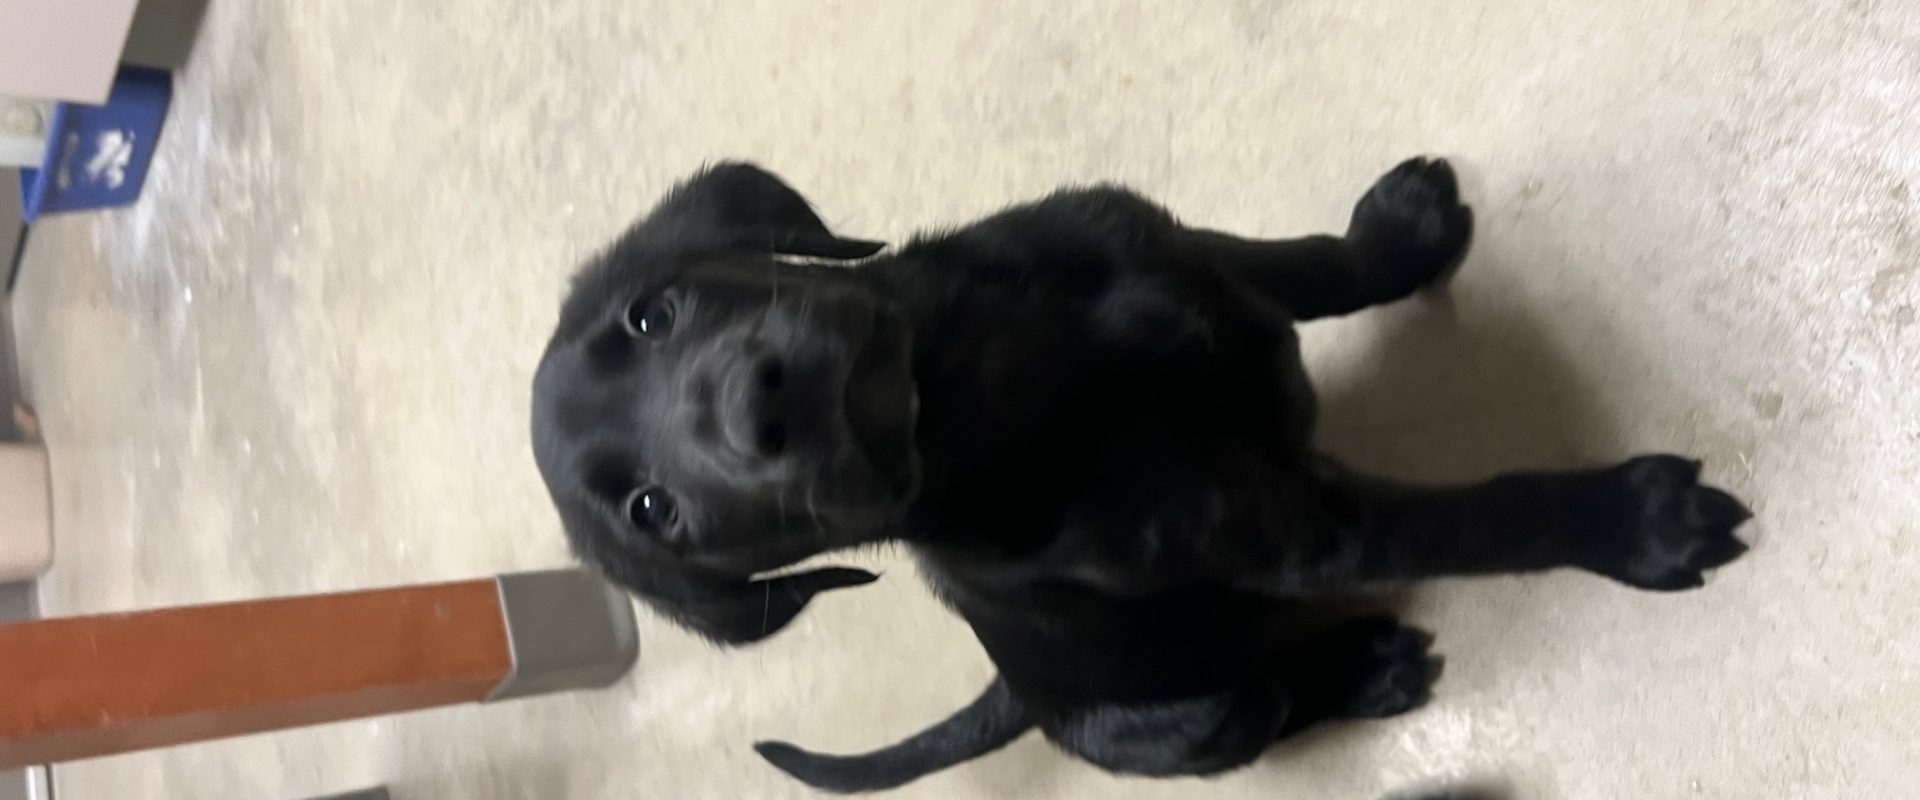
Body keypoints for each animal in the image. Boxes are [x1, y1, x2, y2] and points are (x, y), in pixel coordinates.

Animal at [530, 158, 1751, 792]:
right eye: (656, 511)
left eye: (652, 314)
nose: (759, 407)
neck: (985, 378)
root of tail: (1017, 699)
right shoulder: (1304, 529)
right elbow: (1484, 521)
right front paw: (1636, 521)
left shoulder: (1174, 248)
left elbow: (1314, 265)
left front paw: (1397, 234)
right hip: (1201, 718)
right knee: (1272, 702)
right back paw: (1363, 669)